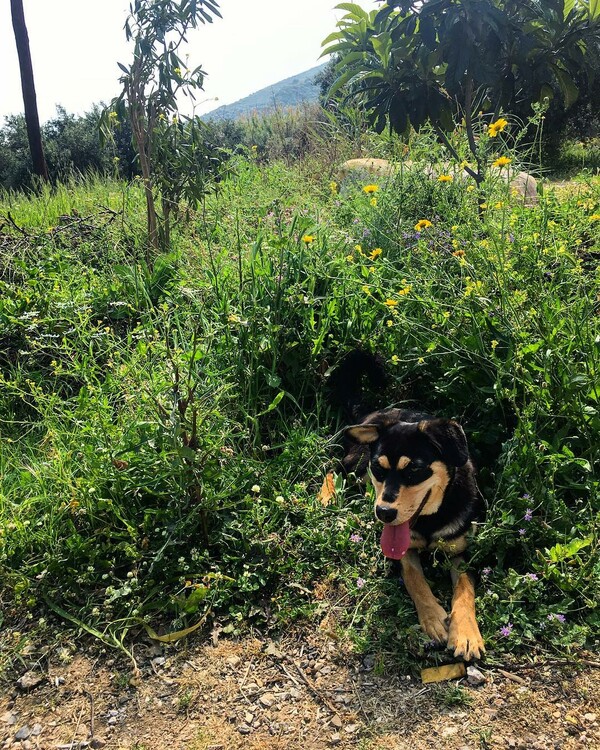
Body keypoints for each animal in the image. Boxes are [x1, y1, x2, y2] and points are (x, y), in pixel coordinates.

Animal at [322, 352, 486, 664]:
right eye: (379, 469)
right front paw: (433, 618)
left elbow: (464, 589)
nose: (384, 514)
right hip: (357, 463)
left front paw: (466, 633)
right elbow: (414, 579)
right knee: (334, 466)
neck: (431, 520)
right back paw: (326, 496)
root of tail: (375, 413)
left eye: (414, 471)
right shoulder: (404, 551)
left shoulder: (463, 552)